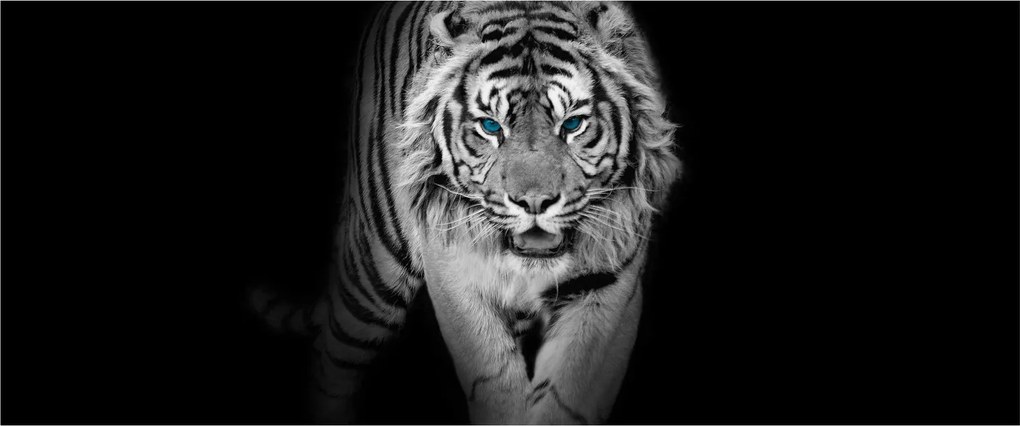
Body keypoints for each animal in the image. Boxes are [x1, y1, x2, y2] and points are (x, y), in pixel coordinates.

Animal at [250, 1, 681, 423]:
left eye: (573, 124)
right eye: (490, 127)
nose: (534, 203)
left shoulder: (610, 284)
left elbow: (567, 396)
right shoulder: (454, 270)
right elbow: (493, 380)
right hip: (374, 270)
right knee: (332, 360)